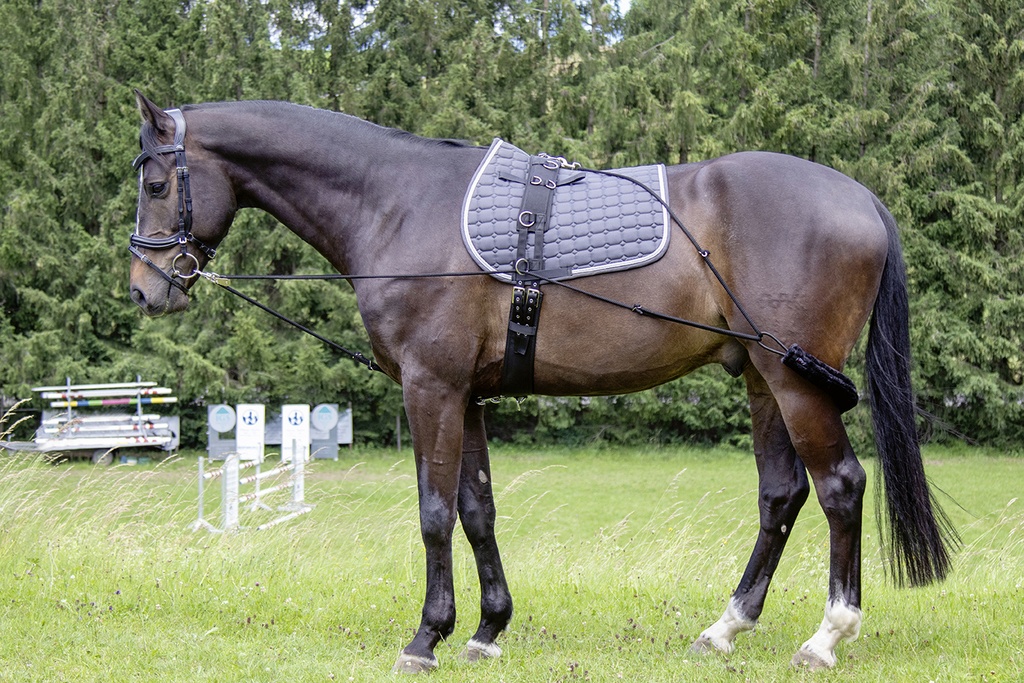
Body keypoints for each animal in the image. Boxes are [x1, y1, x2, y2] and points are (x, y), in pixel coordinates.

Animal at [128, 91, 956, 672]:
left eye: (159, 182)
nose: (144, 289)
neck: (397, 202)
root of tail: (860, 197)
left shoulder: (430, 387)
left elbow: (434, 513)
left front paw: (426, 635)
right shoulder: (467, 395)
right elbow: (477, 510)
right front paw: (488, 627)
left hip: (795, 380)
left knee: (840, 486)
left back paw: (826, 636)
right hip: (761, 377)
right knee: (781, 495)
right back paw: (725, 628)